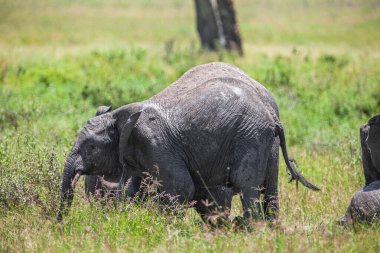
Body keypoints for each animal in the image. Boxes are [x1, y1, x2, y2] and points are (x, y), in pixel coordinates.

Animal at [55, 62, 318, 222]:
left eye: (91, 147)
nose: (60, 224)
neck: (119, 116)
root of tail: (273, 117)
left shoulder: (157, 146)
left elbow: (181, 189)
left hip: (250, 138)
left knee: (247, 187)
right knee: (269, 192)